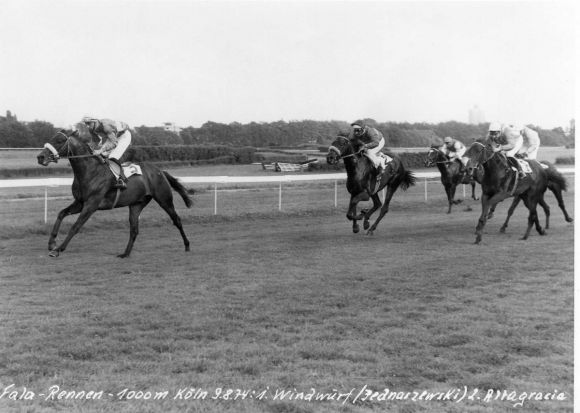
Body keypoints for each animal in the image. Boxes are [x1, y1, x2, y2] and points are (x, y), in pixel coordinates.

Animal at [37, 130, 194, 258]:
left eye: (59, 140)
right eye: (51, 138)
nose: (40, 157)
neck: (90, 171)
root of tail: (160, 171)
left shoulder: (91, 204)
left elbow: (76, 226)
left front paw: (58, 249)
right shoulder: (80, 203)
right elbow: (61, 214)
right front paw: (51, 243)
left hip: (164, 199)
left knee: (177, 220)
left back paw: (187, 245)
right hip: (136, 204)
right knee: (134, 229)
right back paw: (125, 254)